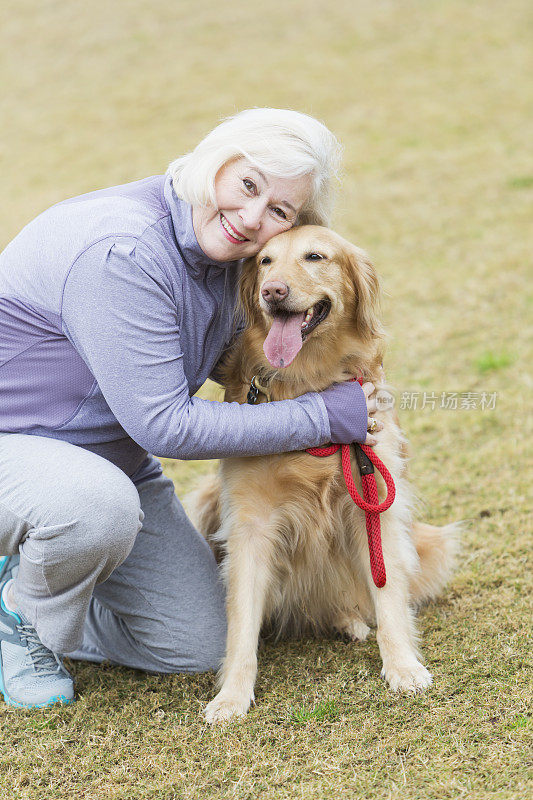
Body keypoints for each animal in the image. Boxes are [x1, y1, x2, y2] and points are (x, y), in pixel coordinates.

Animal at [191, 225, 458, 724]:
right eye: (264, 261)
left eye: (315, 256)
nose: (273, 292)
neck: (308, 388)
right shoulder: (250, 524)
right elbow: (241, 624)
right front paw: (232, 696)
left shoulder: (374, 500)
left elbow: (388, 596)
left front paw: (402, 667)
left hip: (427, 542)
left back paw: (351, 620)